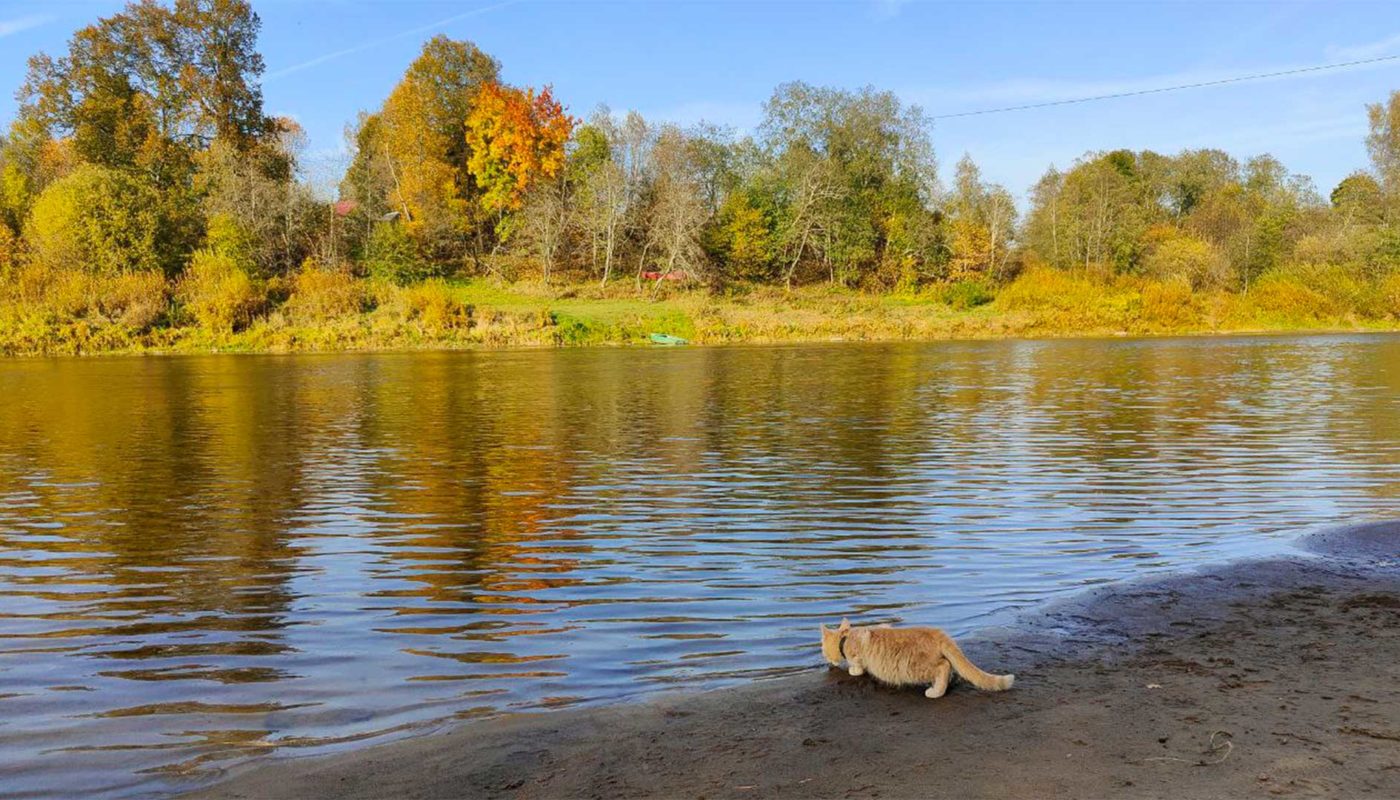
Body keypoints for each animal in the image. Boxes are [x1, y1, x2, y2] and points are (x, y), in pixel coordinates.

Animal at [817, 616, 1013, 697]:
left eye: (822, 649)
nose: (826, 660)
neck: (847, 637)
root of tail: (937, 632)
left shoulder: (857, 656)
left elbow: (856, 667)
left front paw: (852, 669)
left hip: (913, 667)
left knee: (944, 666)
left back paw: (936, 691)